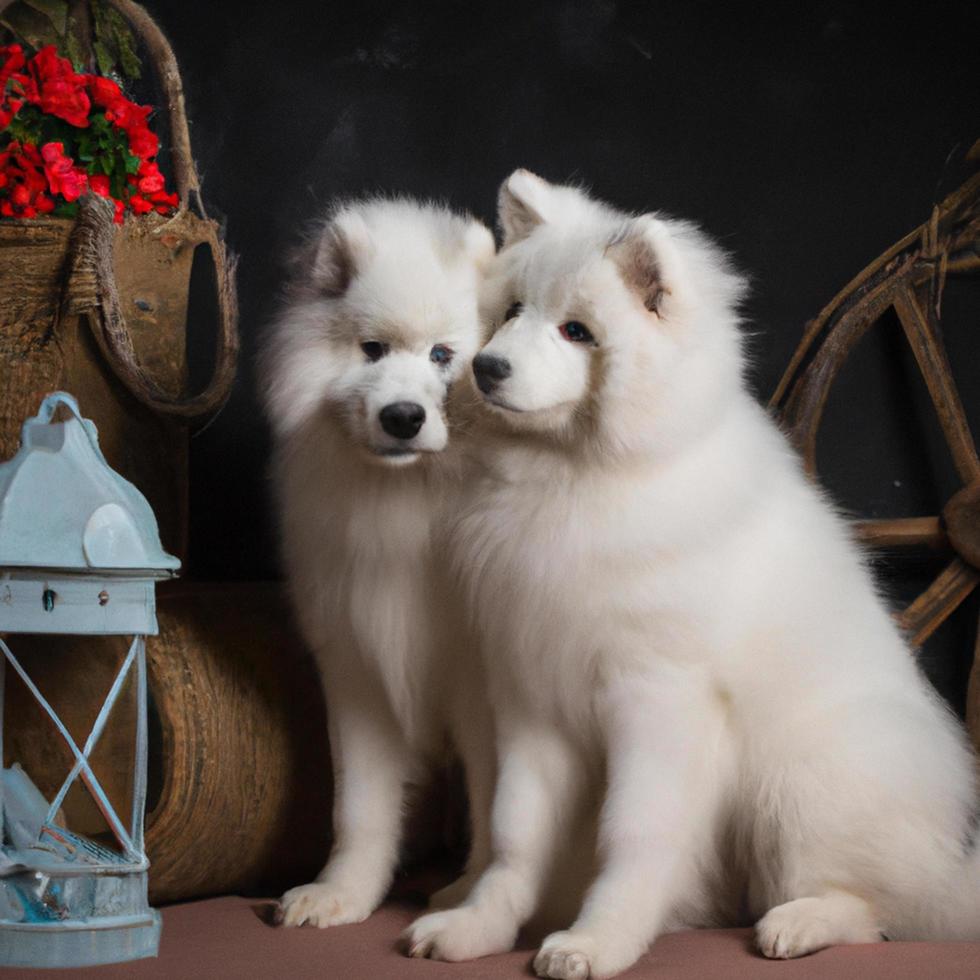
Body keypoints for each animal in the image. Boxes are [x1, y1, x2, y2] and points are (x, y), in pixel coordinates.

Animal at [262, 197, 498, 928]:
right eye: (371, 350)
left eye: (443, 354)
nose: (402, 417)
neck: (408, 498)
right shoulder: (356, 667)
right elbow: (360, 806)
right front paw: (341, 893)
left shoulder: (482, 683)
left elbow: (497, 804)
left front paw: (470, 894)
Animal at [400, 172, 980, 976]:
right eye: (512, 311)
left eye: (577, 332)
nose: (486, 368)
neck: (574, 480)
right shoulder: (531, 703)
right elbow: (515, 834)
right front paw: (479, 926)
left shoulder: (657, 705)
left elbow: (633, 835)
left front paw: (596, 941)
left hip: (800, 780)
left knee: (875, 911)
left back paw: (797, 924)